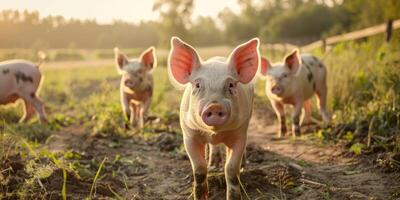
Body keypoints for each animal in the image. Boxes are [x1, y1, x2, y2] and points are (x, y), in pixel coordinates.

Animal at [167, 36, 260, 199]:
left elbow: (231, 169)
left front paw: (233, 196)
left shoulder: (239, 134)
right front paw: (201, 196)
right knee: (214, 147)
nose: (214, 106)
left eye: (231, 84)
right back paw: (213, 165)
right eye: (197, 85)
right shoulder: (189, 135)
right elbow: (199, 168)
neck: (215, 132)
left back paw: (242, 166)